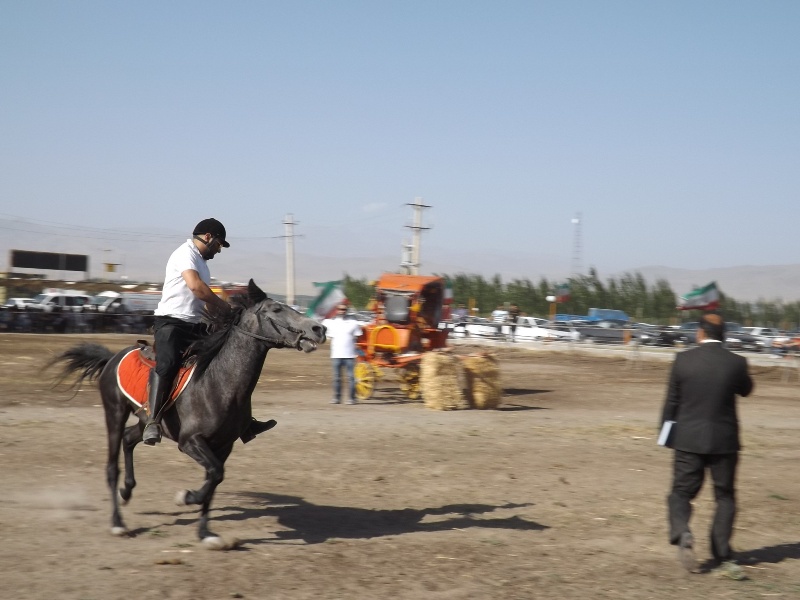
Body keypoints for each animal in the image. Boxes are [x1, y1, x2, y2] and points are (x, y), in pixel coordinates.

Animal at [49, 279, 326, 548]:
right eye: (277, 309)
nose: (319, 329)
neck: (218, 382)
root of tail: (112, 358)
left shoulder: (223, 446)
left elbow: (214, 480)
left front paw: (205, 534)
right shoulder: (190, 442)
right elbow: (214, 475)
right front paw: (186, 497)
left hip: (145, 420)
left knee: (129, 439)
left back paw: (127, 492)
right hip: (114, 413)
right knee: (111, 466)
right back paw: (118, 523)